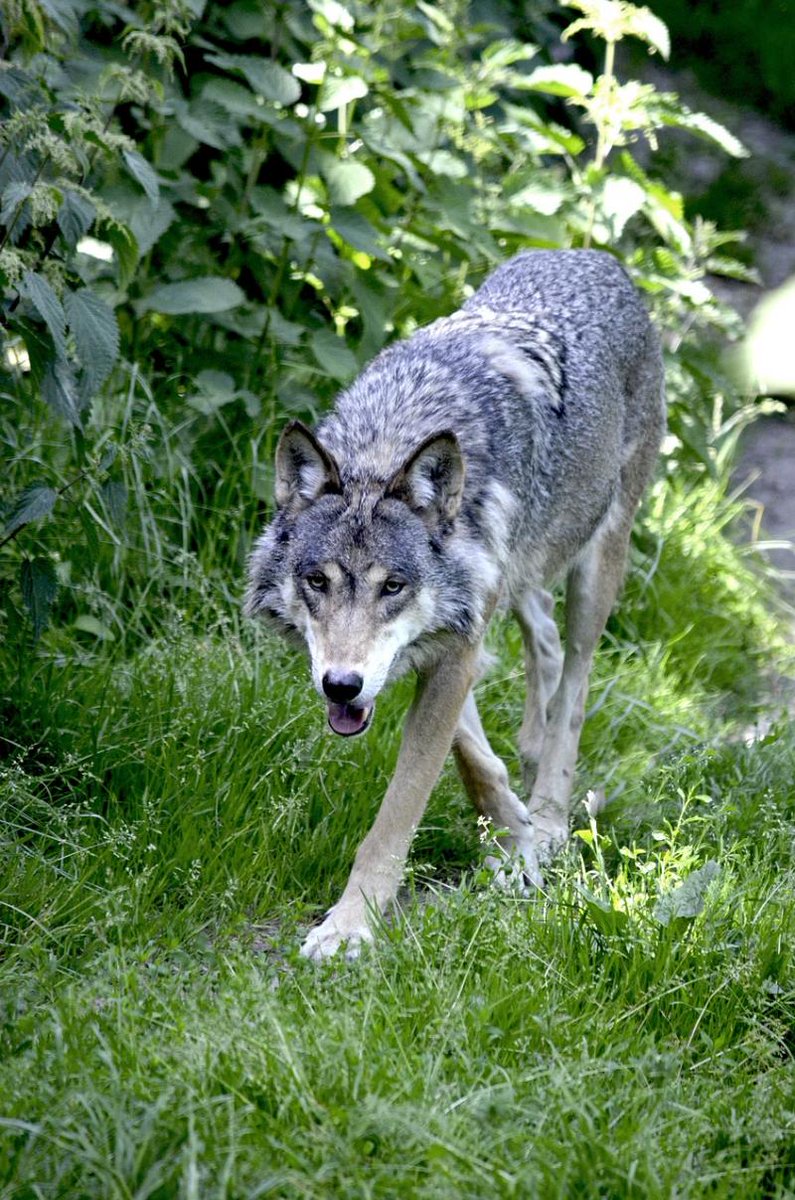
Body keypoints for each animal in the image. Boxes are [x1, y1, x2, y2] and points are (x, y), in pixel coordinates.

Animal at [246, 249, 665, 961]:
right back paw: (530, 762)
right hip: (523, 575)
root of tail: (595, 257)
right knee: (545, 642)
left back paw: (551, 814)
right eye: (318, 582)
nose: (340, 685)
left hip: (598, 565)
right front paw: (509, 833)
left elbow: (401, 809)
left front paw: (351, 926)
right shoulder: (450, 634)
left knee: (576, 683)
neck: (388, 440)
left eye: (392, 586)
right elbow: (471, 754)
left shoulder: (456, 640)